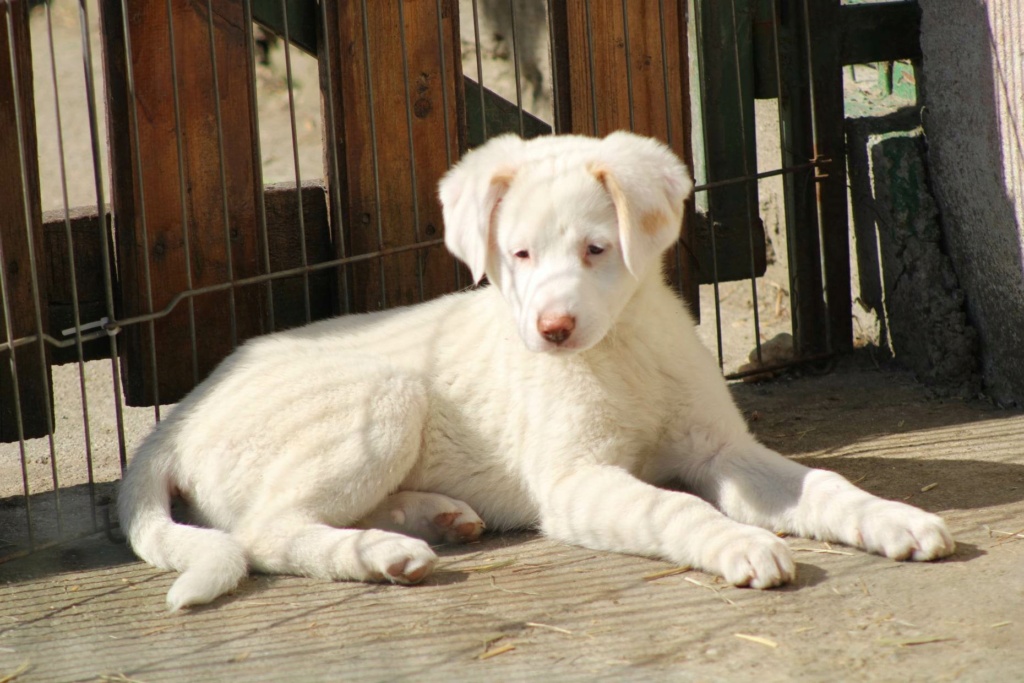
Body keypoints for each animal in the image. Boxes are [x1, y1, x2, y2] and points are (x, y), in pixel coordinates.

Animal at [117, 131, 950, 610]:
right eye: (517, 253)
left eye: (595, 249)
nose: (553, 330)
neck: (619, 350)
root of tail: (179, 415)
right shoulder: (576, 480)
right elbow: (677, 508)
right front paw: (739, 545)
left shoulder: (723, 450)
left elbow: (825, 485)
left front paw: (896, 518)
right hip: (382, 393)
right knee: (263, 531)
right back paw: (382, 553)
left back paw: (430, 517)